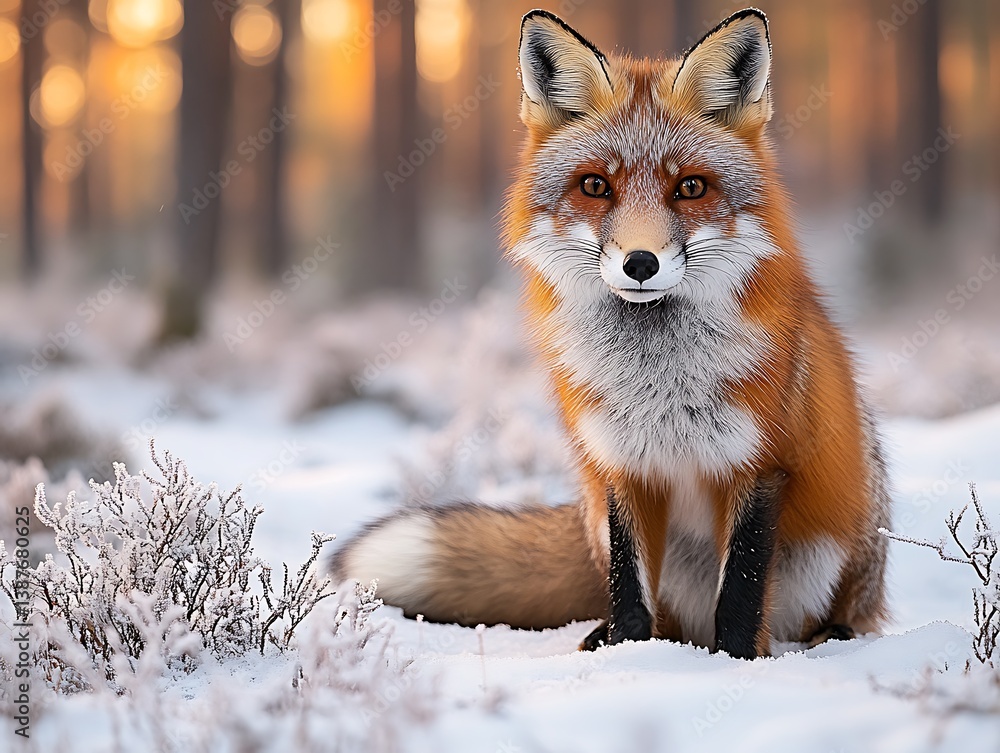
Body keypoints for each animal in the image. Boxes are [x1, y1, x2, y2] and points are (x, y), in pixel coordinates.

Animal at [331, 8, 891, 659]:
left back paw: (832, 635)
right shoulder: (620, 464)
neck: (657, 384)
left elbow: (741, 594)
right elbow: (629, 592)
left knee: (829, 617)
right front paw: (630, 652)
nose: (640, 263)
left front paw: (734, 663)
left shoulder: (760, 464)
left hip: (827, 554)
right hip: (603, 522)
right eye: (596, 186)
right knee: (656, 612)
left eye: (690, 187)